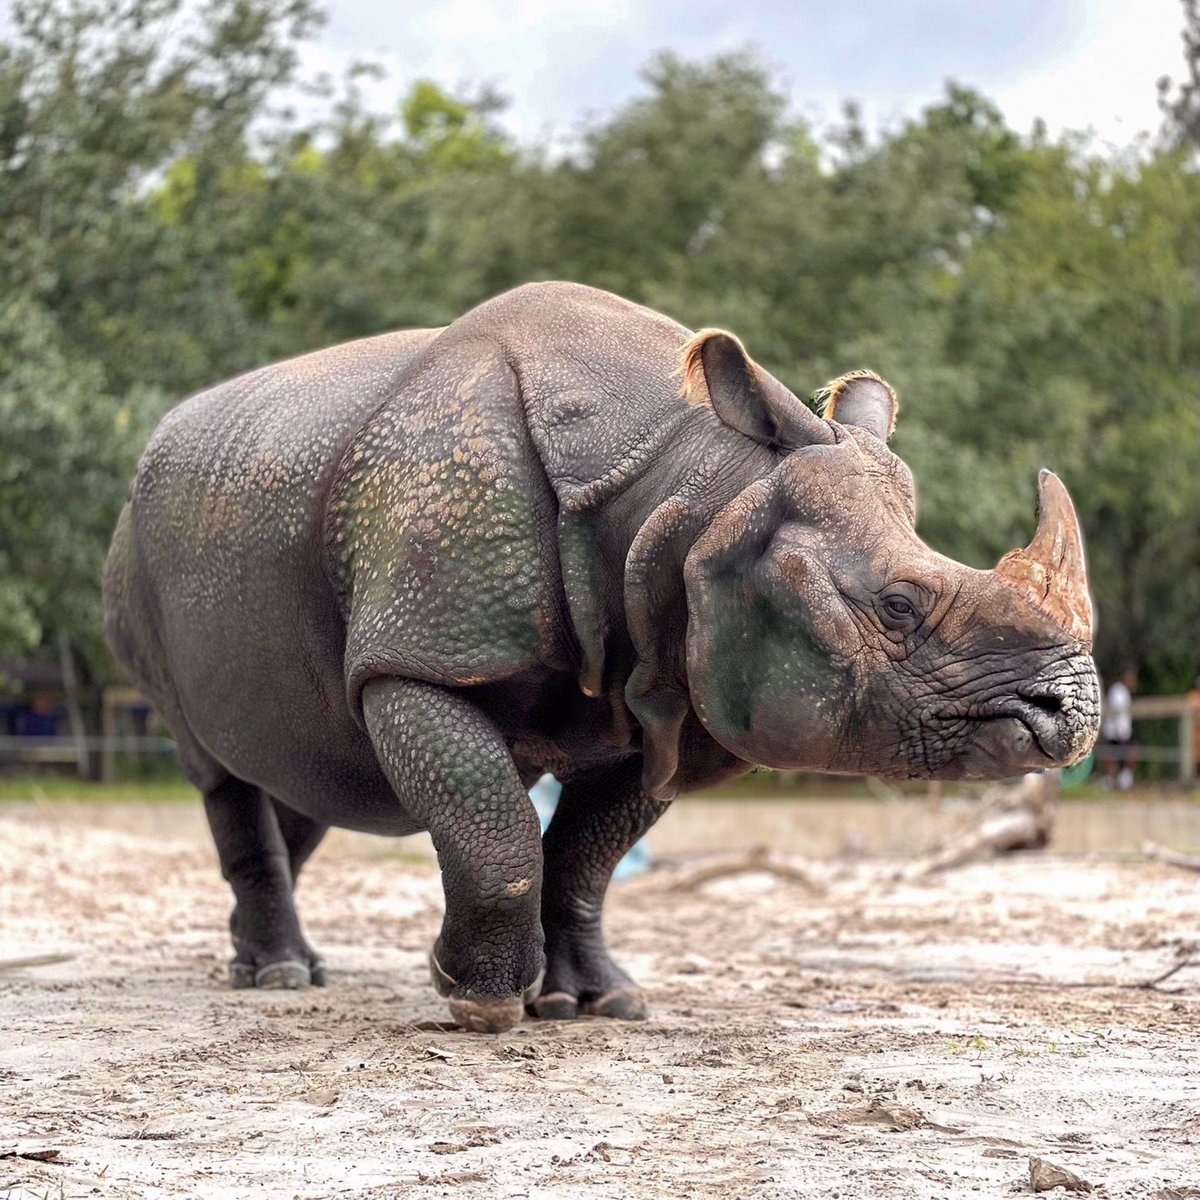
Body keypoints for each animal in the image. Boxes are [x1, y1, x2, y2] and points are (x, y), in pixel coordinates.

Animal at [104, 282, 1100, 1032]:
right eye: (897, 605)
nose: (1072, 713)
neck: (689, 489)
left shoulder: (670, 689)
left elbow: (586, 854)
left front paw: (598, 1003)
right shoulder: (418, 654)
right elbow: (497, 829)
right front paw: (475, 1001)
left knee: (299, 767)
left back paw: (282, 965)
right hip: (138, 558)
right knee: (218, 766)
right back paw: (276, 977)